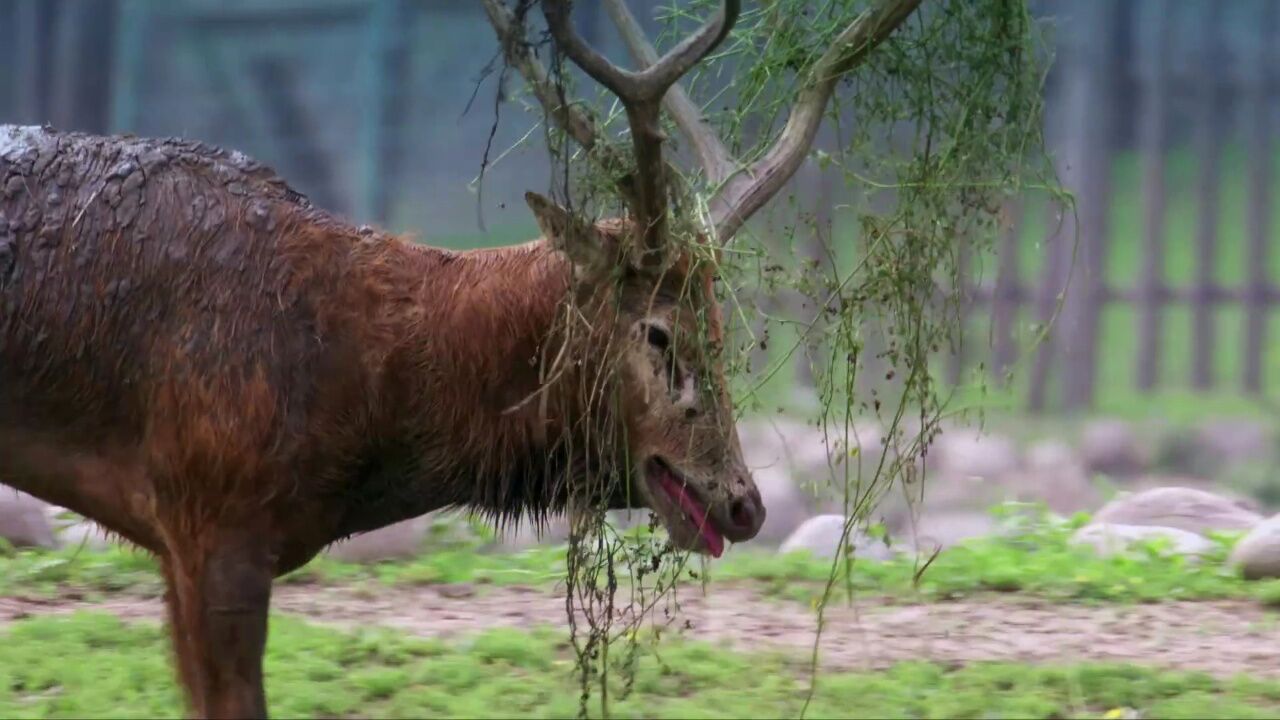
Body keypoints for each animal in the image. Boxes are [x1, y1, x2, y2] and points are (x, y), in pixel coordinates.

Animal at [0, 0, 921, 712]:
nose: (743, 503)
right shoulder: (211, 519)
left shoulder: (181, 541)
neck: (359, 412)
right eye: (659, 330)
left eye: (723, 327)